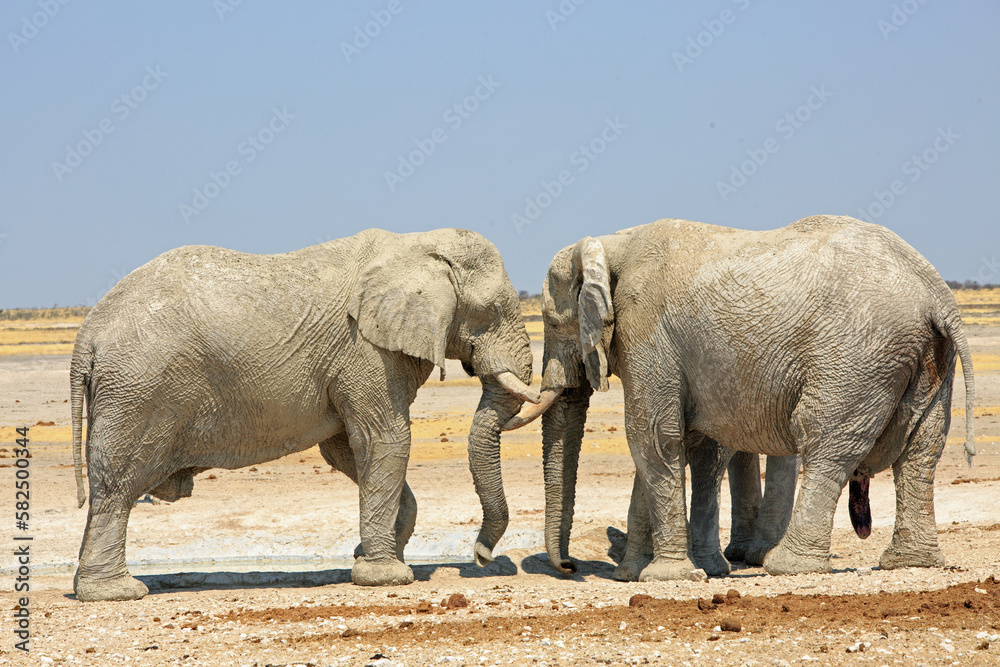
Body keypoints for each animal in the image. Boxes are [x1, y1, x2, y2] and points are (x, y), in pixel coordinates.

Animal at [71, 227, 537, 601]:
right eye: (491, 311)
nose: (481, 557)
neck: (416, 243)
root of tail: (87, 334)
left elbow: (347, 449)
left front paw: (369, 556)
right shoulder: (365, 351)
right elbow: (385, 440)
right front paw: (388, 577)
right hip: (138, 389)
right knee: (118, 485)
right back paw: (117, 593)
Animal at [505, 215, 975, 581]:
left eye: (552, 323)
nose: (568, 566)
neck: (614, 241)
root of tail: (936, 293)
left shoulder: (647, 327)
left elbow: (652, 436)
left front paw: (667, 576)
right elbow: (675, 441)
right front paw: (637, 574)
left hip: (857, 355)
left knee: (825, 441)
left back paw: (788, 566)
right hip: (926, 357)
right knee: (922, 450)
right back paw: (909, 563)